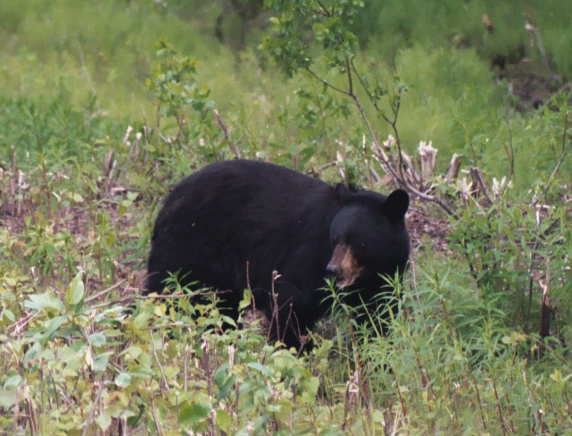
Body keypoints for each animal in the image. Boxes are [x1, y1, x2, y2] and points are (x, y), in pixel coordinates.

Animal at [145, 160, 408, 350]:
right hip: (189, 247)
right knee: (167, 293)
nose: (333, 270)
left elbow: (377, 317)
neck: (367, 275)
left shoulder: (384, 279)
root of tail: (167, 202)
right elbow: (291, 302)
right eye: (336, 239)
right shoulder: (307, 255)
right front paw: (293, 353)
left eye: (359, 242)